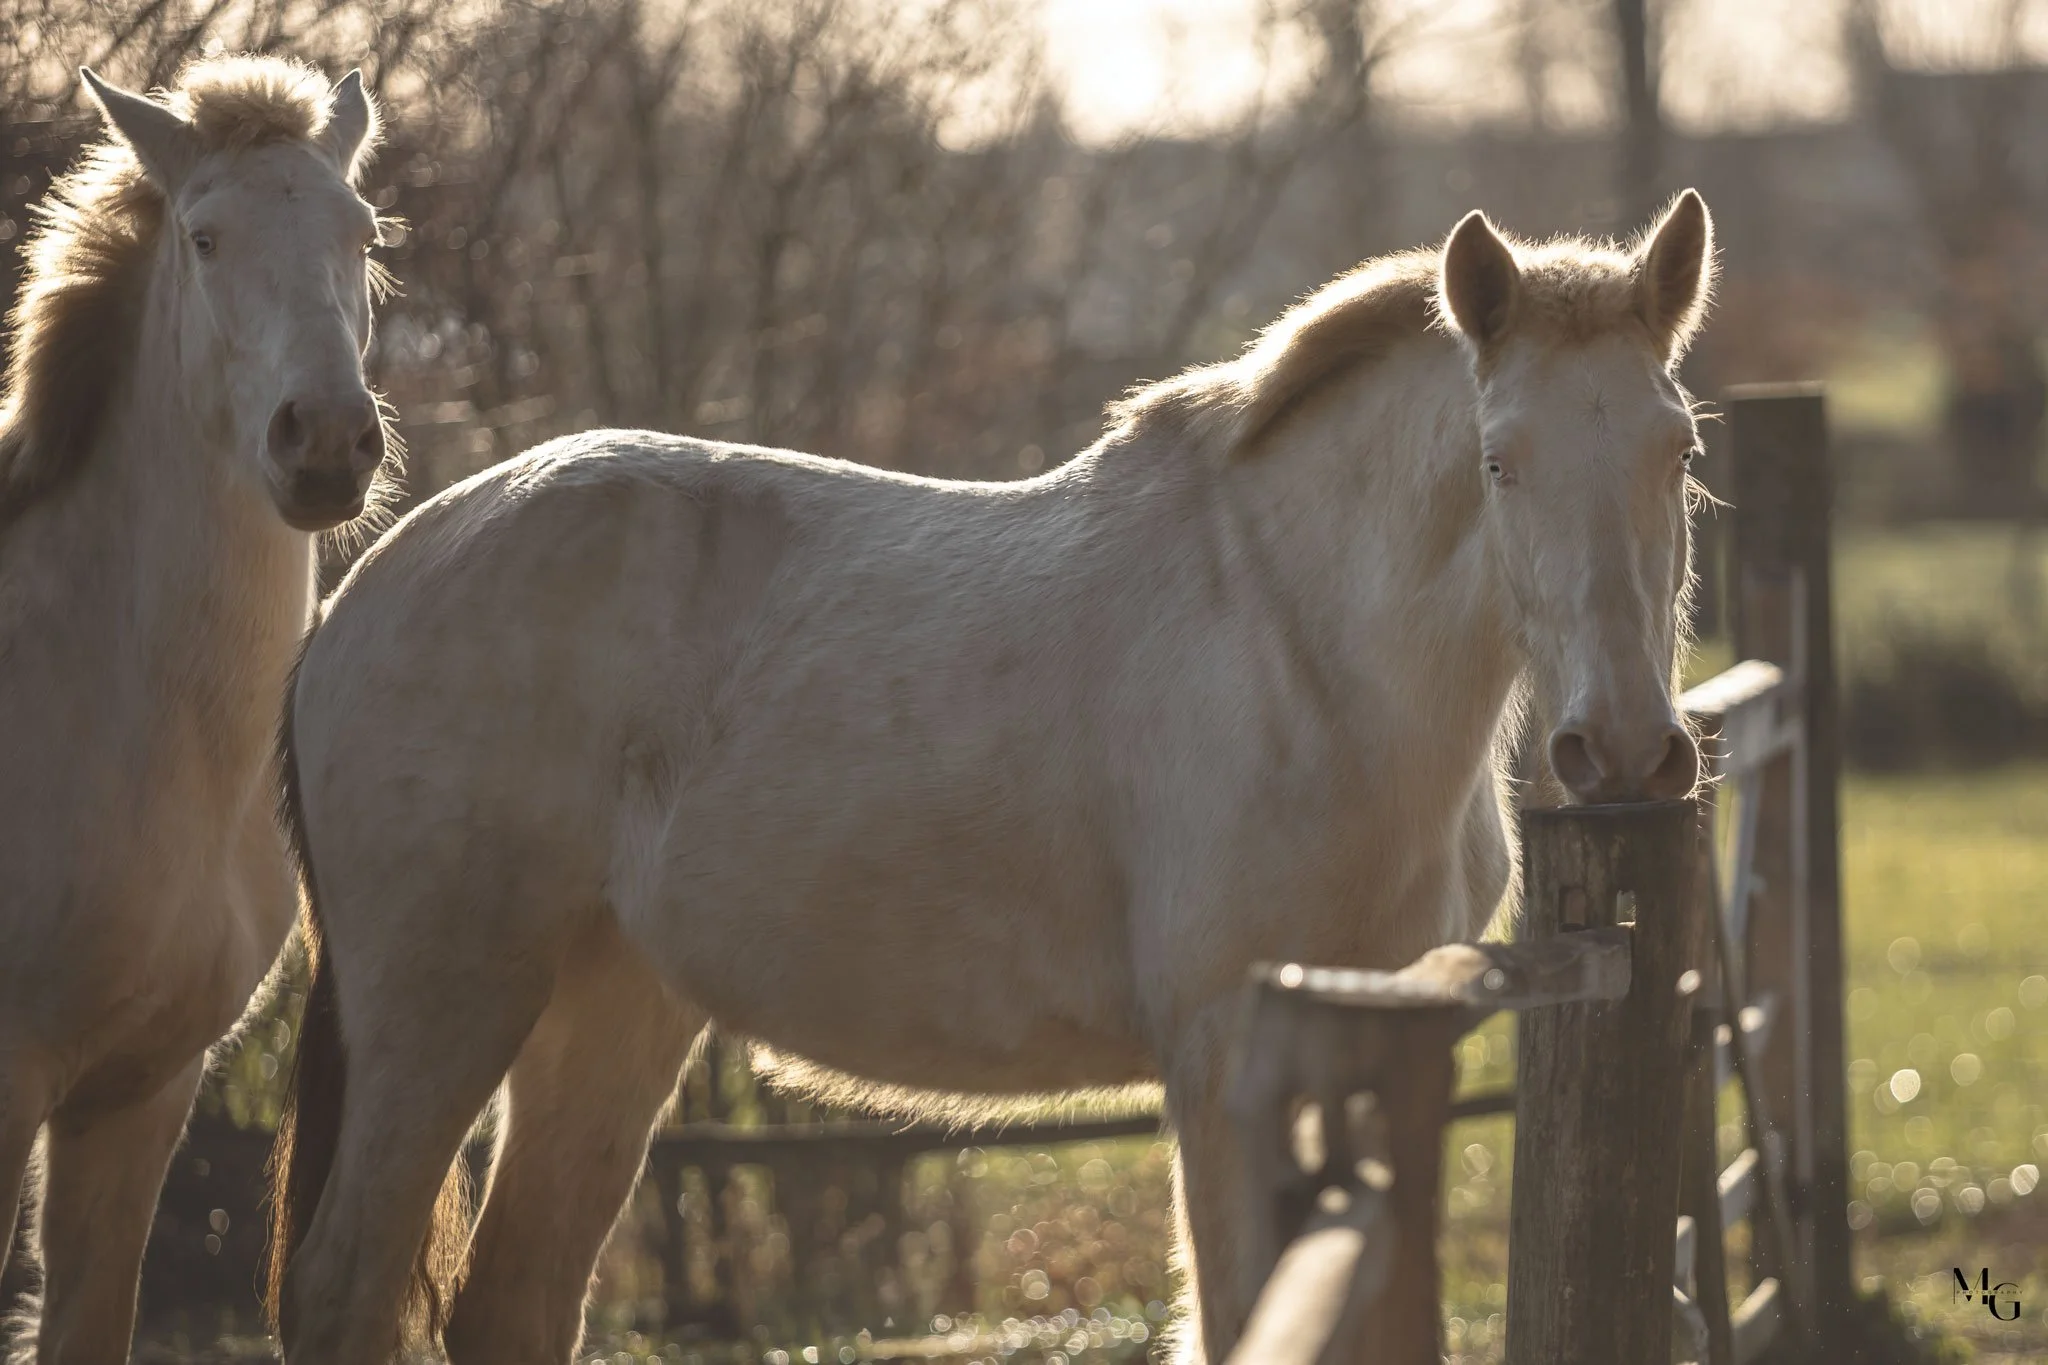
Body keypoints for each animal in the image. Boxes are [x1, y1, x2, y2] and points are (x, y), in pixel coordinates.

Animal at [266, 191, 1715, 1364]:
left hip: (608, 1014)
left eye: (1679, 450)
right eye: (1498, 459)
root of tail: (355, 595)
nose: (1623, 750)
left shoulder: (1395, 1056)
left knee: (514, 1300)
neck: (1306, 652)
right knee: (341, 1295)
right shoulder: (1223, 1058)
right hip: (441, 1011)